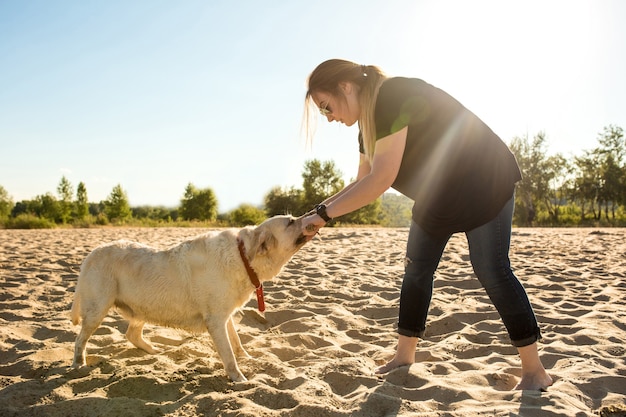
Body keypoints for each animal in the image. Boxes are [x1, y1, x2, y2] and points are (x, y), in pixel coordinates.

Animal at [69, 214, 308, 380]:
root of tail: (90, 255)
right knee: (80, 339)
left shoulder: (224, 314)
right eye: (290, 222)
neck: (244, 257)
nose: (311, 213)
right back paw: (79, 364)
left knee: (131, 334)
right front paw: (239, 377)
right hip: (97, 308)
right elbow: (228, 353)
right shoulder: (215, 320)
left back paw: (154, 351)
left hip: (143, 307)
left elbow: (236, 341)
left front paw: (247, 358)